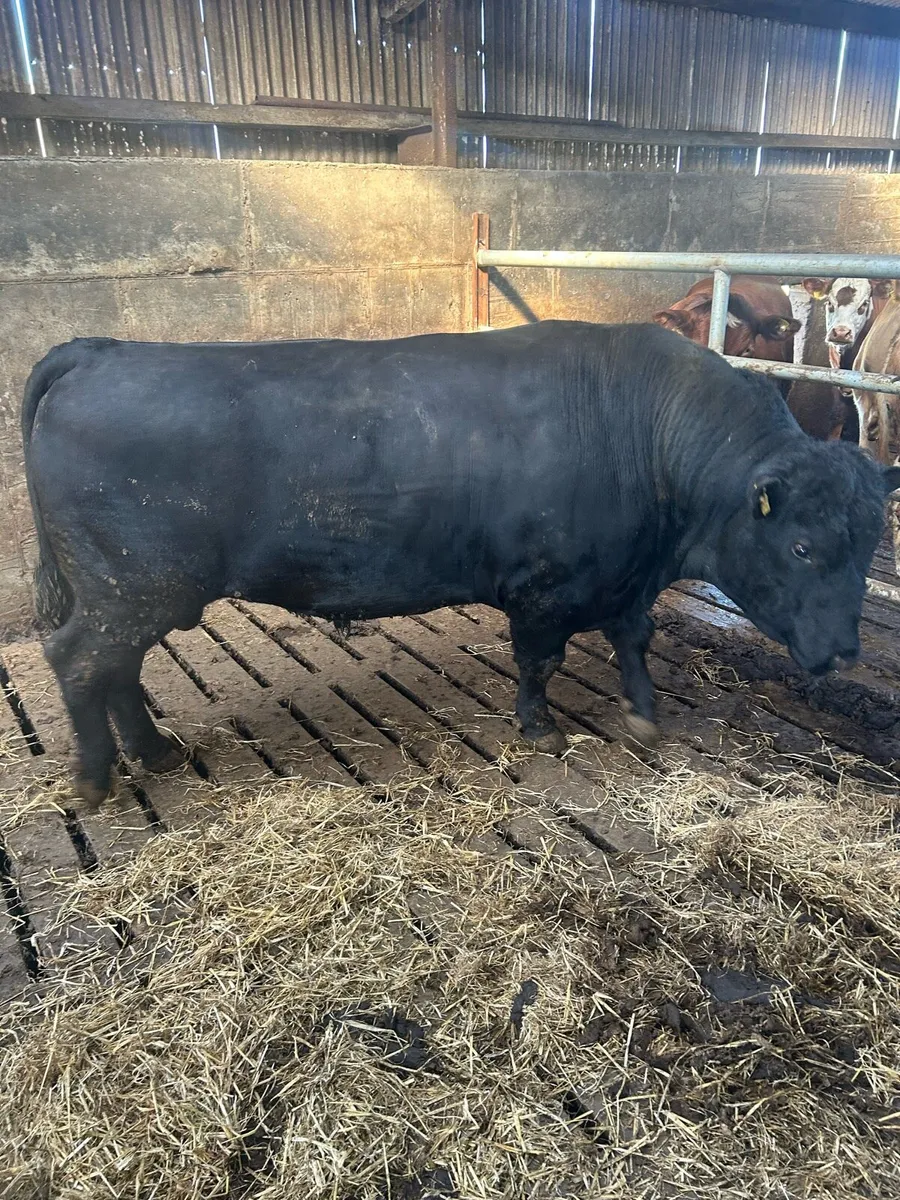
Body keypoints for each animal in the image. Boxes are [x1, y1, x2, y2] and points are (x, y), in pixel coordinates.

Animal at [22, 324, 900, 806]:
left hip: (137, 592)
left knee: (117, 669)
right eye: (802, 547)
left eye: (870, 544)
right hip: (133, 588)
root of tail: (99, 352)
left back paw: (153, 751)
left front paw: (645, 712)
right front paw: (540, 729)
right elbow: (541, 661)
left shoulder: (624, 577)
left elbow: (634, 639)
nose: (842, 652)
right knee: (80, 660)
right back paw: (97, 777)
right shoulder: (546, 589)